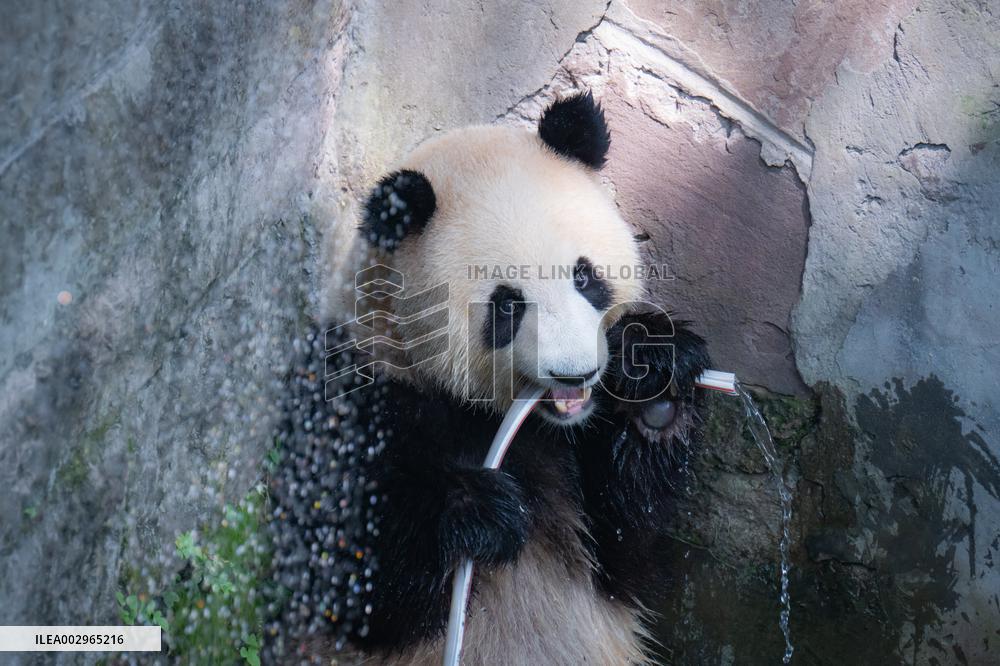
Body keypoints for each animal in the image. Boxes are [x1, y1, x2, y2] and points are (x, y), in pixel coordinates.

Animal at [267, 92, 712, 665]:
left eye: (584, 275)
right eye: (507, 306)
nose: (576, 373)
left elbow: (627, 552)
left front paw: (655, 374)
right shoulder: (353, 393)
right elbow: (347, 570)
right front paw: (479, 509)